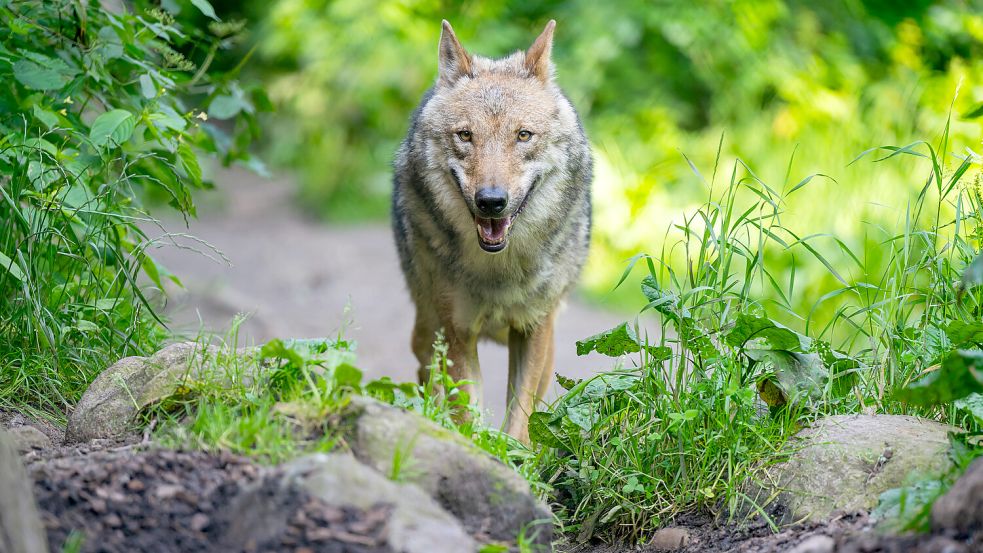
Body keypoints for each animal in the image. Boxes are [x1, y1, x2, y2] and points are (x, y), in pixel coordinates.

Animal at [392, 19, 592, 440]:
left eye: (523, 135)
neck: (499, 271)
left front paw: (511, 453)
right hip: (427, 330)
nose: (491, 201)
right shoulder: (457, 332)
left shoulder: (534, 329)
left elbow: (520, 419)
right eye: (466, 135)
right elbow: (467, 415)